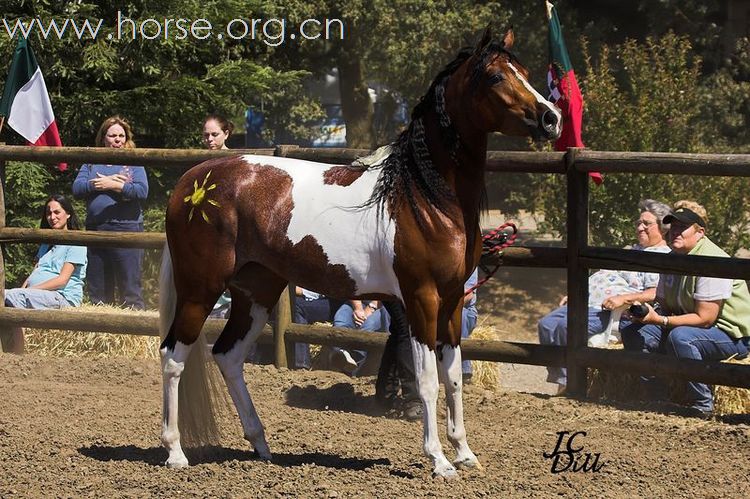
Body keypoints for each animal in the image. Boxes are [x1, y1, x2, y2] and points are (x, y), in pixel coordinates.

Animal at [159, 28, 560, 480]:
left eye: (523, 71)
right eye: (495, 76)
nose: (551, 118)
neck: (423, 196)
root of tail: (193, 180)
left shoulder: (453, 300)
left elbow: (454, 376)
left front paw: (464, 452)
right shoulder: (422, 298)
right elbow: (427, 379)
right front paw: (439, 460)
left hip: (256, 291)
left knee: (227, 356)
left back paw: (261, 445)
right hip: (200, 289)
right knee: (173, 356)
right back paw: (175, 453)